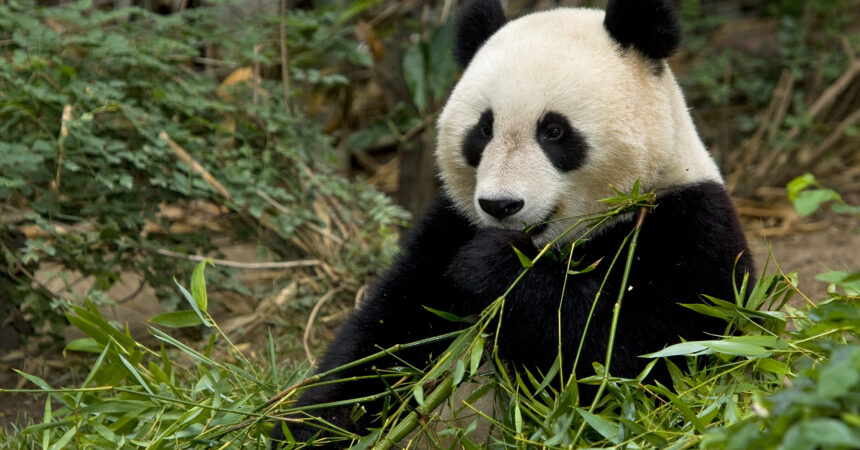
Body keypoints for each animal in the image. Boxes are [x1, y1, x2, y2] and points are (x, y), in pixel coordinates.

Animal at [272, 0, 753, 446]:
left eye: (554, 131)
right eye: (484, 129)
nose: (501, 205)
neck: (558, 243)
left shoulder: (689, 228)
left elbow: (639, 357)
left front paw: (491, 267)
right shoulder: (449, 225)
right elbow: (384, 336)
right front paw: (307, 427)